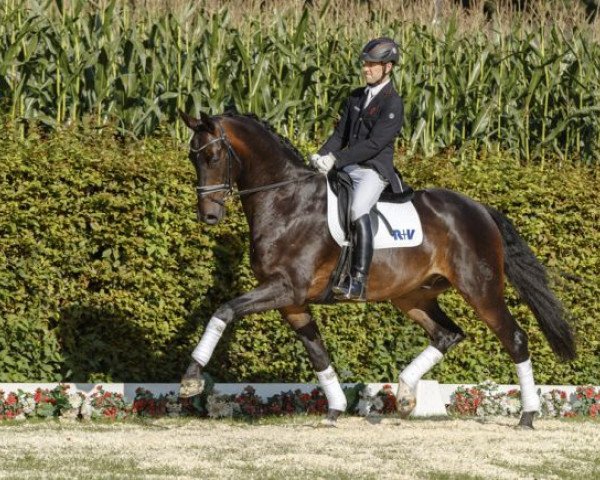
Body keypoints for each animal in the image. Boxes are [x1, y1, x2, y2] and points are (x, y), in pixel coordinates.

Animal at [177, 109, 576, 428]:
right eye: (193, 158)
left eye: (213, 155)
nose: (208, 216)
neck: (286, 200)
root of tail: (480, 209)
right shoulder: (292, 301)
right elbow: (317, 352)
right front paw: (335, 409)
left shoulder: (285, 288)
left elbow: (224, 310)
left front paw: (191, 378)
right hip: (413, 295)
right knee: (447, 334)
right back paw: (406, 395)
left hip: (480, 289)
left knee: (515, 338)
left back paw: (528, 415)